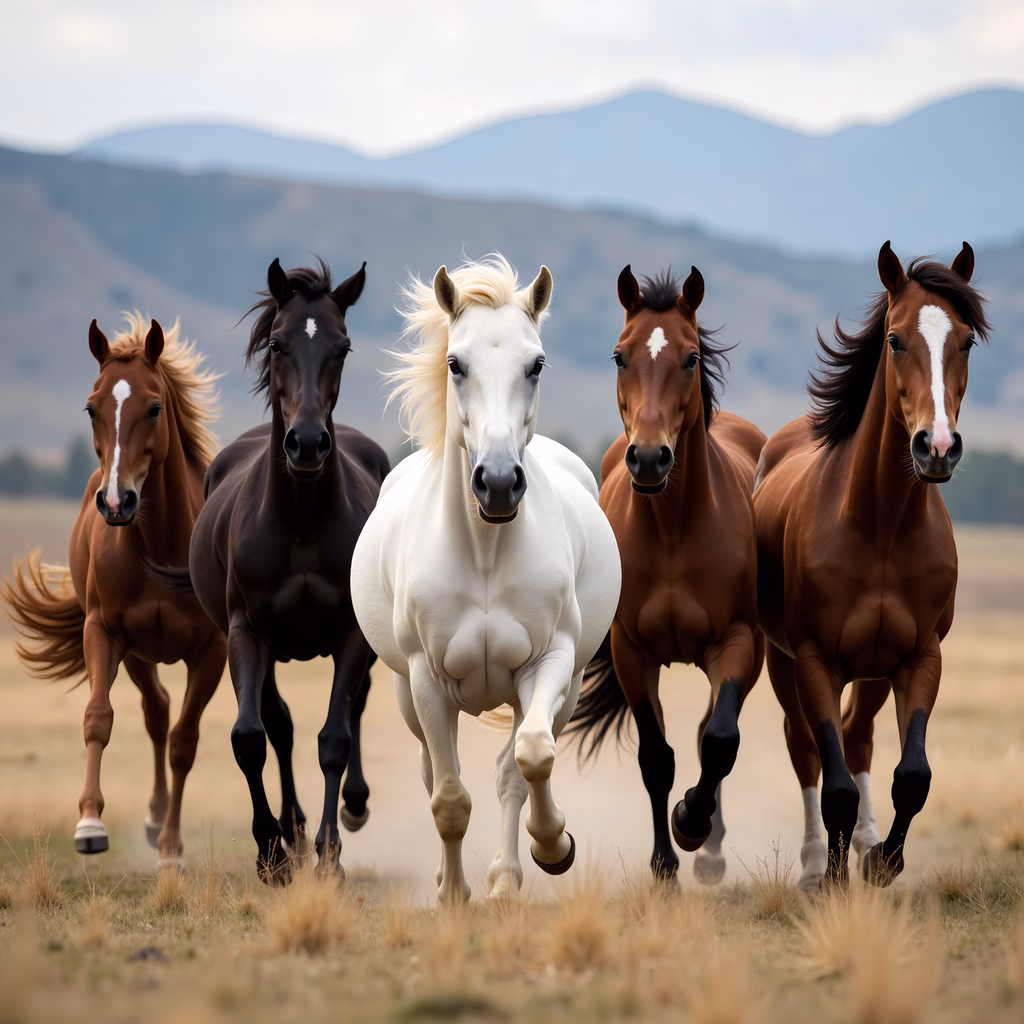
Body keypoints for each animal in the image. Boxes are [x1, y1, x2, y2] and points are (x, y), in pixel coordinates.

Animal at [4, 314, 226, 868]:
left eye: (154, 407)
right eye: (91, 408)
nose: (116, 501)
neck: (161, 544)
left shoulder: (213, 651)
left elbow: (184, 742)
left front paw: (171, 849)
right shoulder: (103, 632)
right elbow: (98, 719)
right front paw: (89, 824)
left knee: (167, 720)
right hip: (138, 653)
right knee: (155, 710)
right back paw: (150, 816)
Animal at [155, 258, 389, 884]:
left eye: (343, 346)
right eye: (278, 343)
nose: (306, 443)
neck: (302, 520)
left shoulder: (351, 634)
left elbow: (334, 737)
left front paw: (330, 855)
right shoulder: (247, 631)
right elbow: (251, 737)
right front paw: (271, 853)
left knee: (353, 709)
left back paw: (348, 811)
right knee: (278, 724)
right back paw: (294, 828)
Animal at [351, 256, 621, 905]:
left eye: (536, 363)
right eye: (456, 362)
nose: (498, 483)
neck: (485, 554)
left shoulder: (549, 664)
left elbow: (532, 757)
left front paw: (553, 845)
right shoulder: (426, 679)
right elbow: (448, 799)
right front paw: (452, 894)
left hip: (564, 685)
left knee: (510, 767)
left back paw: (506, 878)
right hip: (407, 696)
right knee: (433, 773)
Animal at [565, 266, 766, 883]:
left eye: (691, 357)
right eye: (619, 356)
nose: (650, 458)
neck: (673, 529)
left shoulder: (736, 641)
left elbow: (720, 740)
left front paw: (691, 825)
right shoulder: (631, 650)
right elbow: (656, 757)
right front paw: (663, 864)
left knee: (710, 731)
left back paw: (712, 846)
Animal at [753, 241, 989, 889]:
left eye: (966, 340)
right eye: (894, 339)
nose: (937, 447)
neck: (880, 528)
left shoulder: (919, 658)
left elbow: (912, 775)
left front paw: (884, 860)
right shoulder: (815, 660)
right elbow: (832, 780)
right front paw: (832, 875)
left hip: (876, 670)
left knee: (858, 740)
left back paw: (862, 842)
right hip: (783, 663)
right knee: (805, 749)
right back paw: (815, 863)